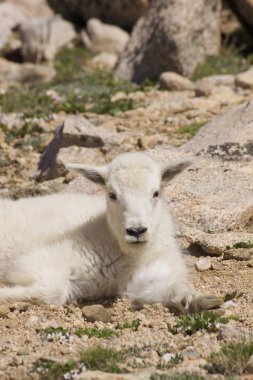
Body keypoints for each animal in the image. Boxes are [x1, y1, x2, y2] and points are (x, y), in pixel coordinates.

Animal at [0, 153, 223, 314]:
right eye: (112, 194)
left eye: (156, 193)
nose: (136, 231)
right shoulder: (40, 259)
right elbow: (52, 292)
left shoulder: (146, 278)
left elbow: (171, 289)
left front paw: (199, 301)